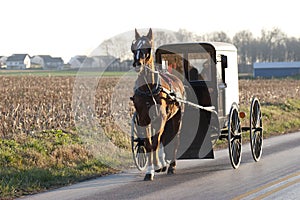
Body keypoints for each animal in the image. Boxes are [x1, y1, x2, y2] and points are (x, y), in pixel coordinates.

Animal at [131, 28, 185, 181]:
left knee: (174, 140)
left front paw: (153, 168)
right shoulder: (143, 118)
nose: (137, 64)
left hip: (176, 118)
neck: (148, 89)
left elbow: (155, 142)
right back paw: (160, 164)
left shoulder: (160, 117)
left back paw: (171, 166)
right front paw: (151, 170)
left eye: (147, 47)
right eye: (133, 47)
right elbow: (149, 144)